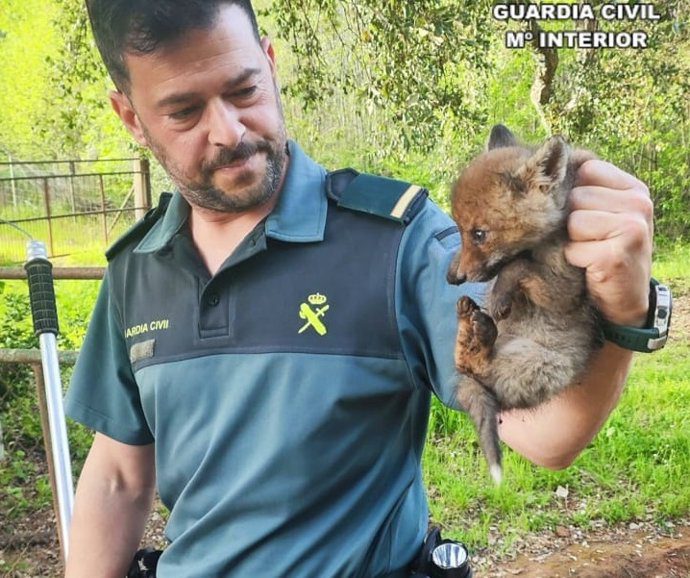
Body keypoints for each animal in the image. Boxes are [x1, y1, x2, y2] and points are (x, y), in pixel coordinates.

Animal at [446, 125, 604, 484]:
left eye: (479, 234)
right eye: (460, 231)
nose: (459, 277)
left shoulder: (565, 288)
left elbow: (517, 267)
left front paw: (501, 295)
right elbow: (515, 264)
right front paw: (452, 264)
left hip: (541, 365)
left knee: (479, 367)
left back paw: (481, 332)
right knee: (465, 362)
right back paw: (471, 324)